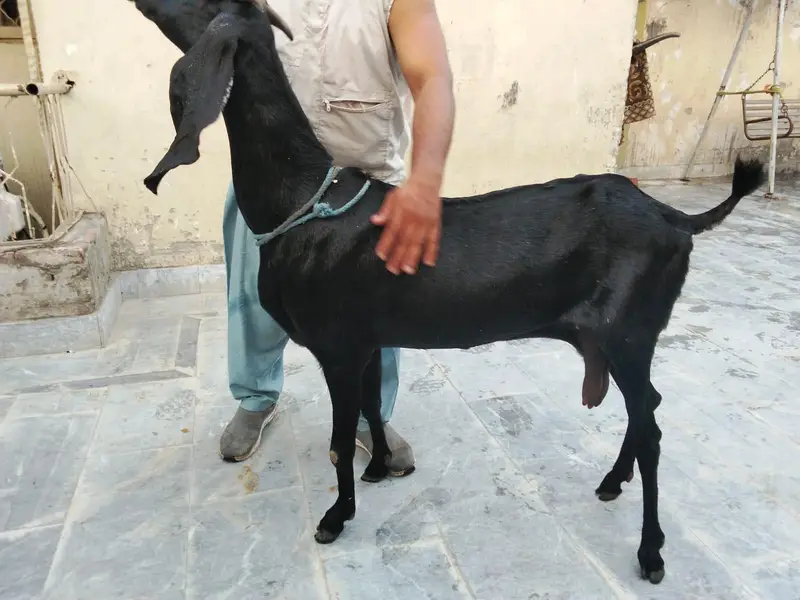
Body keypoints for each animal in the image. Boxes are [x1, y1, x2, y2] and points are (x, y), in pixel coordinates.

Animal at [129, 0, 765, 585]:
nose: (143, 3)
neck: (304, 199)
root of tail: (675, 218)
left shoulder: (337, 347)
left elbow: (339, 440)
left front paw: (337, 516)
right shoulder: (365, 339)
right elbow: (370, 407)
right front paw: (380, 469)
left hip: (628, 332)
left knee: (652, 426)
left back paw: (650, 551)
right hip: (619, 339)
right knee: (645, 410)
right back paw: (612, 482)